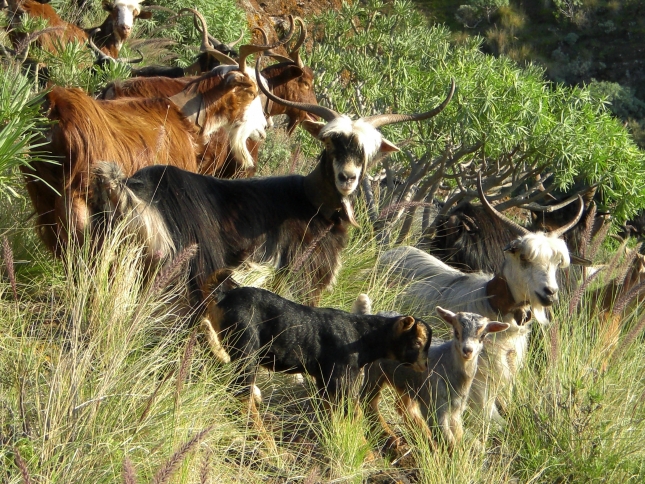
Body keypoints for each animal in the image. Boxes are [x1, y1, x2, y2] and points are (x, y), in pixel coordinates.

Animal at [380, 175, 580, 428]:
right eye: (524, 258)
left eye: (556, 263)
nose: (550, 293)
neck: (492, 306)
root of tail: (391, 252)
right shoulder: (477, 382)